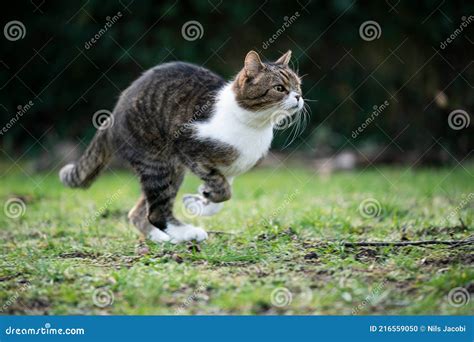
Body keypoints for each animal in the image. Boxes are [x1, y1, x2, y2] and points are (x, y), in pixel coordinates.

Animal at [59, 50, 304, 243]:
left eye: (298, 85)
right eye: (279, 88)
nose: (299, 97)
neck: (254, 125)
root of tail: (112, 115)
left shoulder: (232, 169)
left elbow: (222, 194)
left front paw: (201, 199)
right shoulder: (190, 151)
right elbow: (224, 191)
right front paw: (202, 197)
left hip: (169, 171)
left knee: (138, 213)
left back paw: (164, 238)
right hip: (159, 162)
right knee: (155, 213)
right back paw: (185, 233)